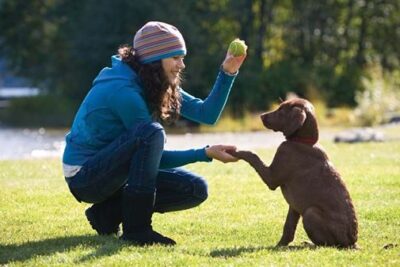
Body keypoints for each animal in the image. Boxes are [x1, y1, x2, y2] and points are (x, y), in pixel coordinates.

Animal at [230, 98, 358, 249]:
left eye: (281, 110)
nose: (261, 116)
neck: (304, 142)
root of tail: (352, 243)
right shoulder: (294, 206)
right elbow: (288, 228)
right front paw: (280, 245)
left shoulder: (272, 178)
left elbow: (252, 155)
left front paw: (235, 151)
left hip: (310, 213)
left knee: (328, 245)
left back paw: (310, 244)